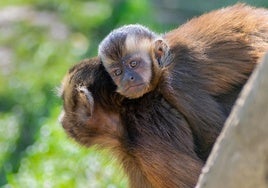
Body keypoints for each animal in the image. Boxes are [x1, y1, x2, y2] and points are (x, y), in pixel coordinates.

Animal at [98, 3, 268, 161]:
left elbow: (215, 133)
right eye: (118, 72)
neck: (165, 63)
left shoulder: (176, 84)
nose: (128, 78)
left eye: (133, 64)